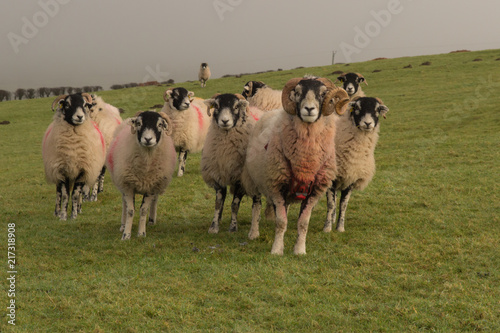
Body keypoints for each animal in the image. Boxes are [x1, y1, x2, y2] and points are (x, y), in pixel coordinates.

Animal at [105, 111, 176, 239]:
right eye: (138, 123)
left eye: (160, 124)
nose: (148, 139)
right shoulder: (128, 186)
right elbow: (130, 211)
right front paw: (126, 234)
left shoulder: (151, 186)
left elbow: (143, 210)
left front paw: (141, 233)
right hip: (121, 182)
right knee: (124, 204)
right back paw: (123, 225)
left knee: (155, 200)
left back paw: (152, 221)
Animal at [201, 92, 260, 233]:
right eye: (216, 105)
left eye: (236, 106)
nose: (225, 121)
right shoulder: (218, 176)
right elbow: (218, 204)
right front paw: (214, 227)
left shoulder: (240, 179)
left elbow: (234, 205)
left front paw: (233, 227)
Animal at [241, 77, 350, 254]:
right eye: (297, 93)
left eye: (323, 94)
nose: (309, 109)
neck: (305, 160)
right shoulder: (277, 185)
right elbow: (281, 222)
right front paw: (277, 250)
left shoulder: (314, 192)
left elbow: (303, 223)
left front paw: (299, 250)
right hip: (254, 178)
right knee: (256, 206)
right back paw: (253, 233)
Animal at [322, 95, 388, 231]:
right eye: (357, 107)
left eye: (377, 109)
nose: (367, 123)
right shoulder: (330, 177)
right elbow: (330, 204)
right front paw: (327, 228)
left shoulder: (351, 178)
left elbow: (343, 205)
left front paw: (340, 228)